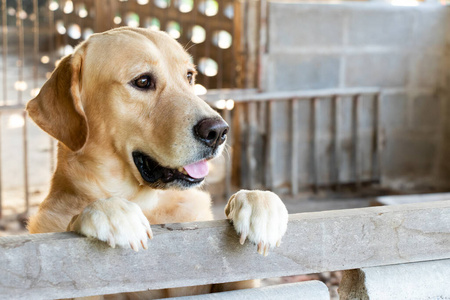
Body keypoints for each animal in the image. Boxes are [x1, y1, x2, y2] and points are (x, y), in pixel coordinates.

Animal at [26, 27, 288, 298]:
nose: (218, 131)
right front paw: (109, 211)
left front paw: (260, 205)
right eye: (142, 81)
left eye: (189, 76)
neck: (148, 204)